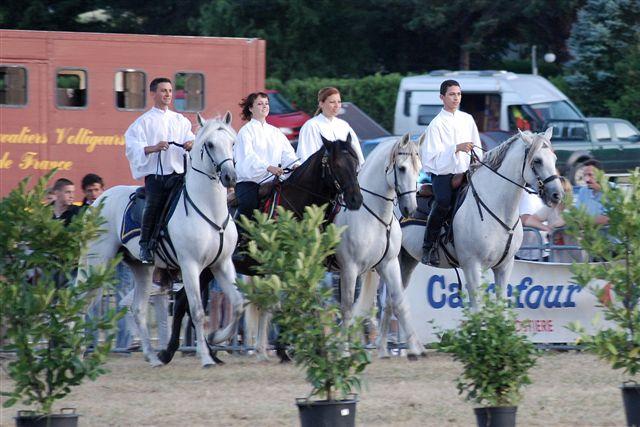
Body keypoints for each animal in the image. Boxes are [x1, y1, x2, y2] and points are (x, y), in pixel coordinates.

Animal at [77, 113, 241, 368]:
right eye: (210, 144)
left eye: (232, 143)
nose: (230, 177)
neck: (208, 209)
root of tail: (95, 203)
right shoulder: (190, 266)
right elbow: (197, 311)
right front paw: (206, 357)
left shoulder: (221, 265)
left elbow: (238, 304)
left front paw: (217, 337)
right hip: (97, 264)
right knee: (80, 302)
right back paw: (75, 354)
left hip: (141, 268)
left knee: (137, 309)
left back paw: (153, 357)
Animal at [332, 132, 428, 360]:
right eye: (401, 168)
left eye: (419, 168)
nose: (410, 209)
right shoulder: (349, 269)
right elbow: (346, 307)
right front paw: (343, 350)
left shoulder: (389, 264)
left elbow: (398, 302)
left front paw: (414, 348)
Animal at [372, 129, 564, 356]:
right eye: (537, 161)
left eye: (555, 159)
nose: (557, 194)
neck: (495, 206)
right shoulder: (472, 265)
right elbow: (477, 306)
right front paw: (480, 344)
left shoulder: (504, 266)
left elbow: (500, 304)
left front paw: (501, 342)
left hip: (405, 260)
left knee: (392, 299)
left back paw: (388, 348)